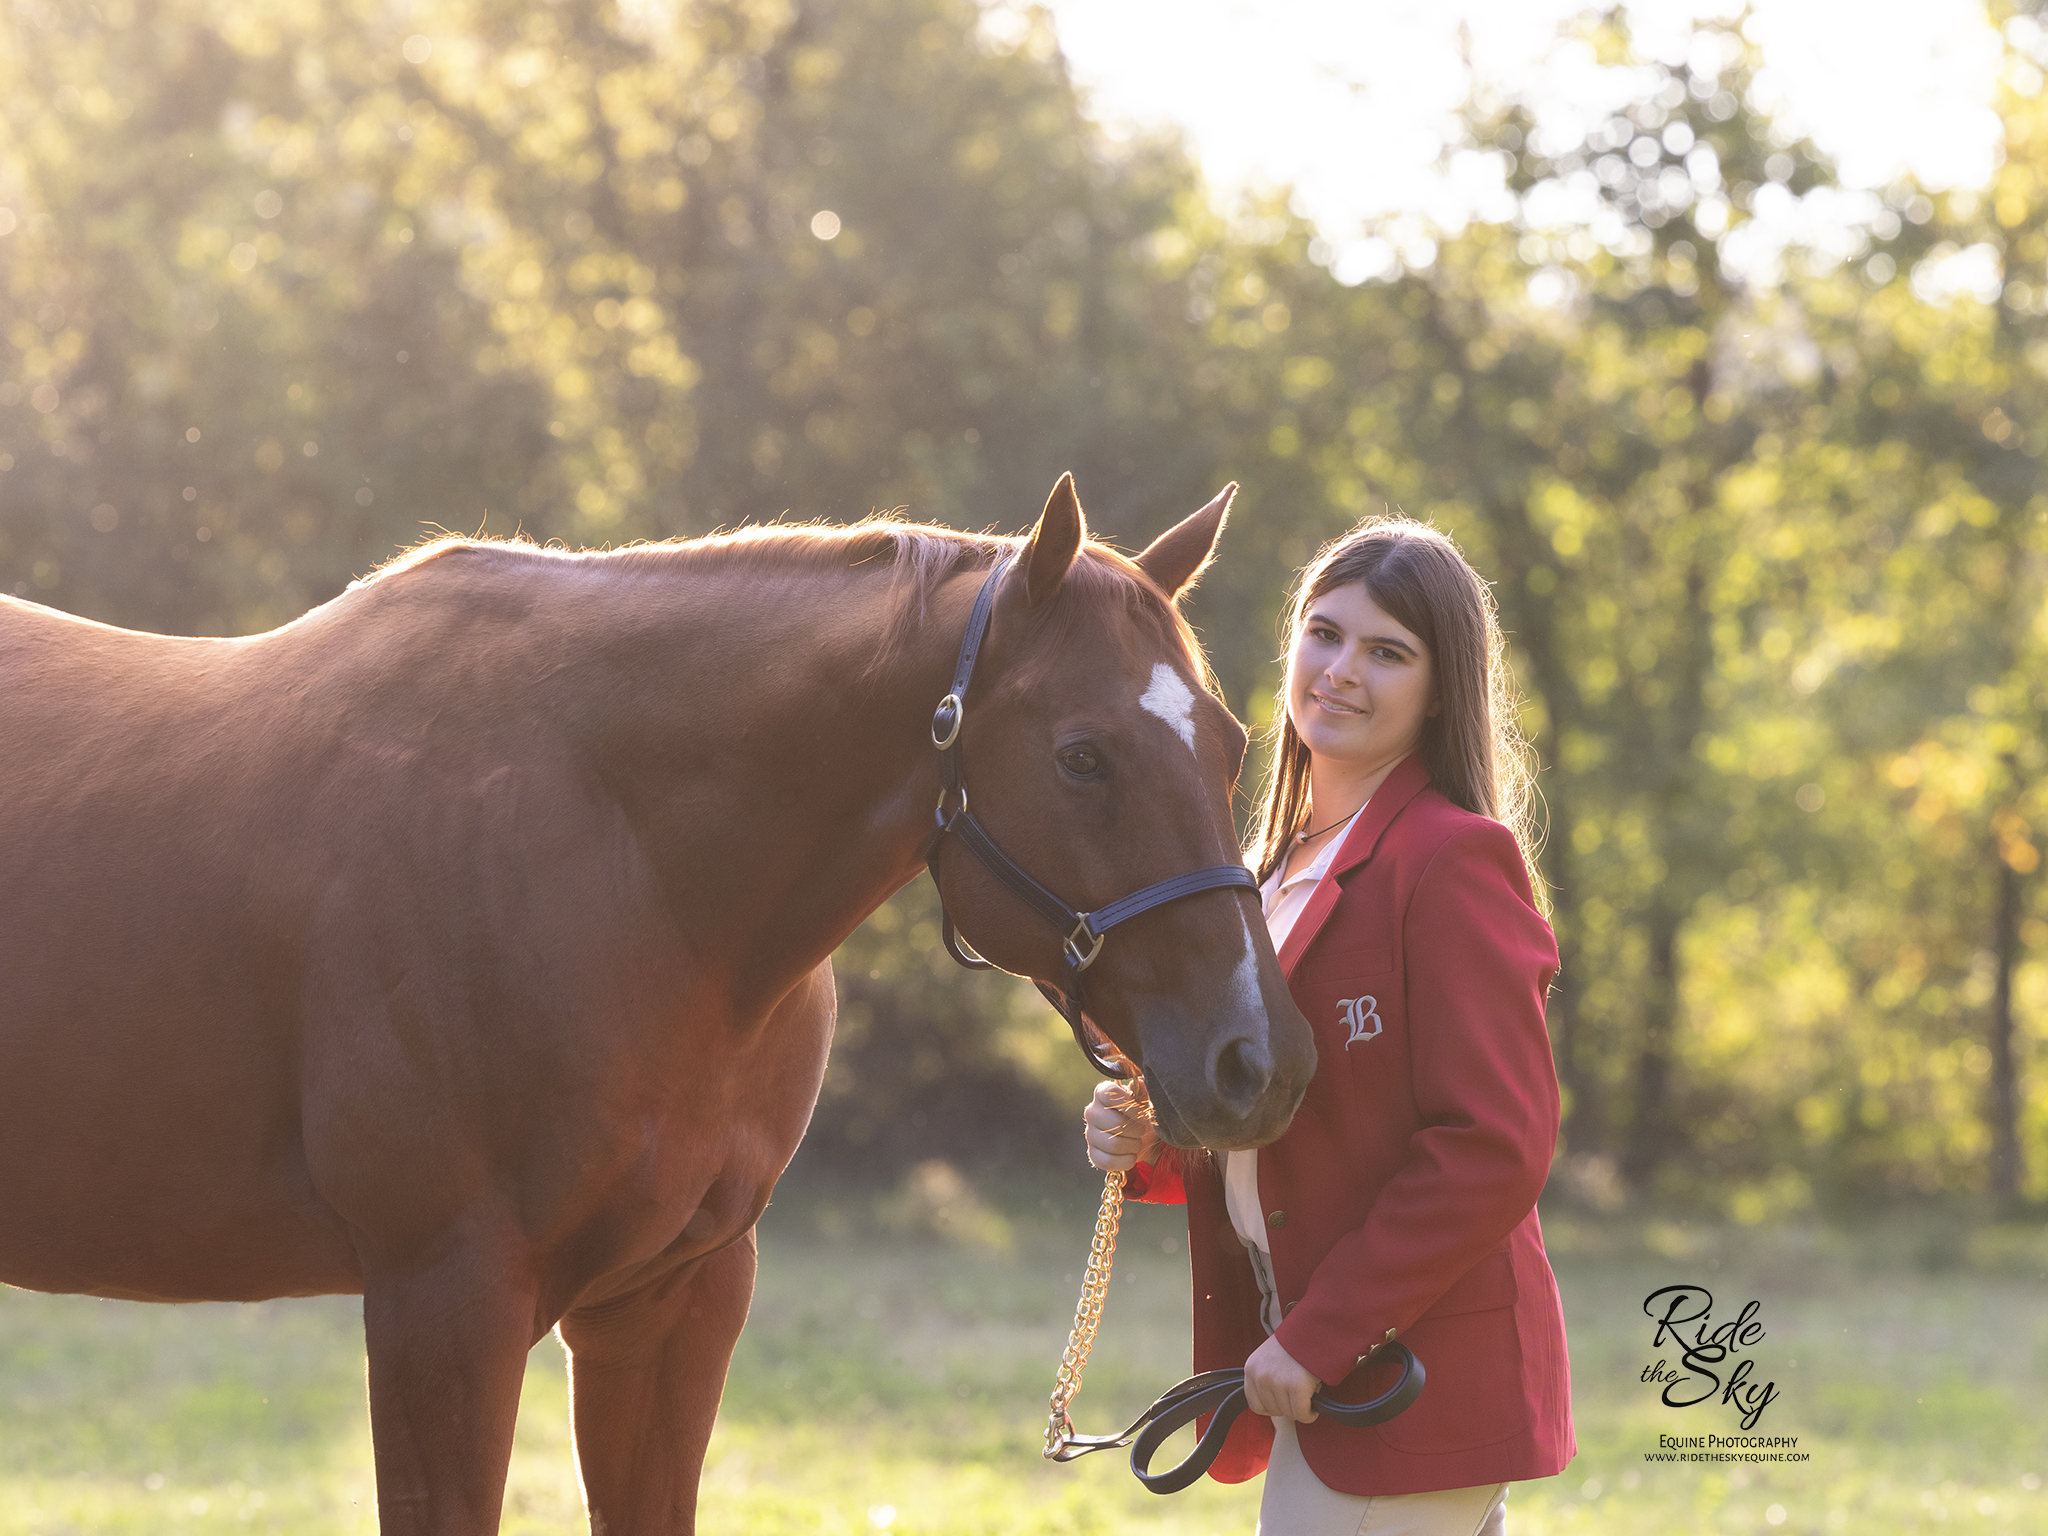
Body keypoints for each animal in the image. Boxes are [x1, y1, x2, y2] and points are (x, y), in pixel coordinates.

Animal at [0, 475, 1310, 1531]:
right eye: (1082, 755)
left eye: (1229, 740)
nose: (1263, 1062)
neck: (611, 847)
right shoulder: (442, 1303)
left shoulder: (673, 1300)